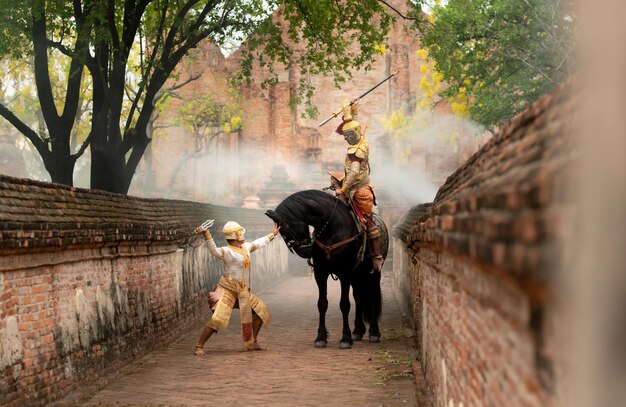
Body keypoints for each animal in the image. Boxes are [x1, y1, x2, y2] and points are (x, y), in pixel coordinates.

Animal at [266, 190, 388, 350]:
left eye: (286, 229)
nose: (305, 252)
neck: (332, 228)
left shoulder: (345, 273)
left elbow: (344, 304)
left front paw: (345, 338)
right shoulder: (321, 273)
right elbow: (322, 303)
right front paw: (321, 337)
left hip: (373, 270)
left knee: (372, 293)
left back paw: (374, 332)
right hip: (357, 273)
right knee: (358, 296)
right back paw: (358, 331)